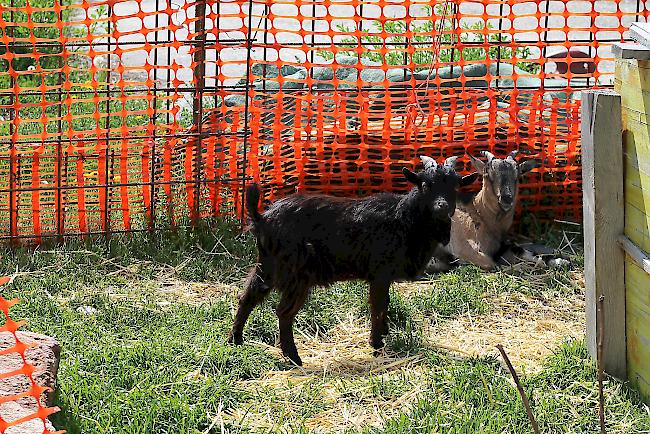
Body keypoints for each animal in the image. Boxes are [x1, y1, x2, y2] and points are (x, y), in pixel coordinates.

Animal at [227, 154, 470, 364]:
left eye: (455, 186)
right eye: (425, 185)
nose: (442, 207)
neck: (404, 217)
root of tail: (262, 218)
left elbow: (386, 304)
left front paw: (384, 334)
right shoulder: (379, 273)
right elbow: (378, 306)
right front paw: (376, 344)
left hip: (267, 266)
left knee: (247, 297)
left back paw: (235, 340)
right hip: (296, 274)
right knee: (284, 313)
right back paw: (294, 358)